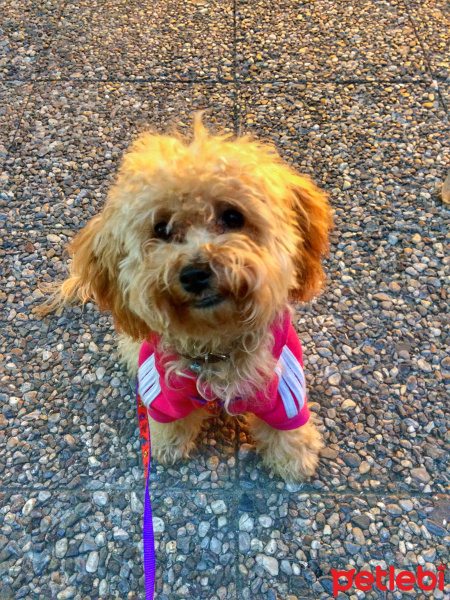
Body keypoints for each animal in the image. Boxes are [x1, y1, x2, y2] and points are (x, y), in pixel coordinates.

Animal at [46, 116, 334, 482]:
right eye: (162, 229)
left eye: (232, 216)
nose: (195, 273)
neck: (216, 349)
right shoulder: (163, 392)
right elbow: (168, 421)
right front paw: (165, 446)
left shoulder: (283, 388)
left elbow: (287, 427)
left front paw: (295, 456)